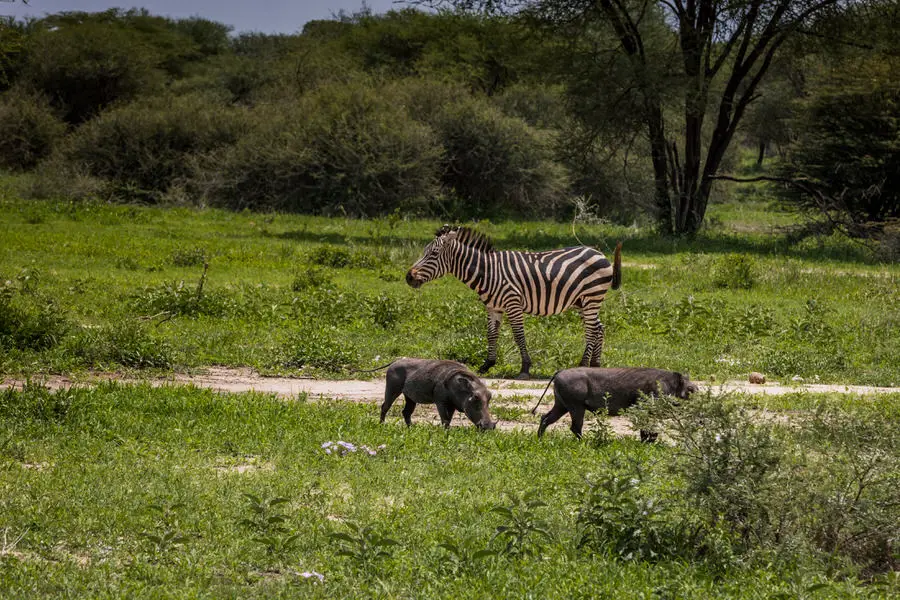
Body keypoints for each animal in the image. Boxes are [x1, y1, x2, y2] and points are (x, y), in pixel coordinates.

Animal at [406, 225, 620, 380]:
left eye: (433, 254)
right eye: (424, 252)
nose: (409, 277)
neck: (488, 272)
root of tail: (599, 253)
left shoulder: (513, 303)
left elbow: (518, 336)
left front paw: (524, 368)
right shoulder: (493, 307)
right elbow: (491, 335)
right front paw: (487, 365)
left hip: (592, 296)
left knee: (591, 330)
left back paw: (583, 365)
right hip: (582, 302)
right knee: (599, 328)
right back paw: (595, 366)